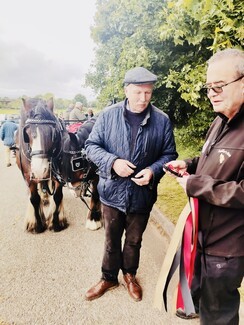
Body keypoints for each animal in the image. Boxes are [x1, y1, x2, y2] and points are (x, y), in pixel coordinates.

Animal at [15, 97, 67, 232]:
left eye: (53, 133)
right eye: (26, 133)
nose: (39, 170)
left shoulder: (59, 174)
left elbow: (57, 196)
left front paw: (56, 223)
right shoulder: (29, 176)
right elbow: (34, 199)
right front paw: (37, 225)